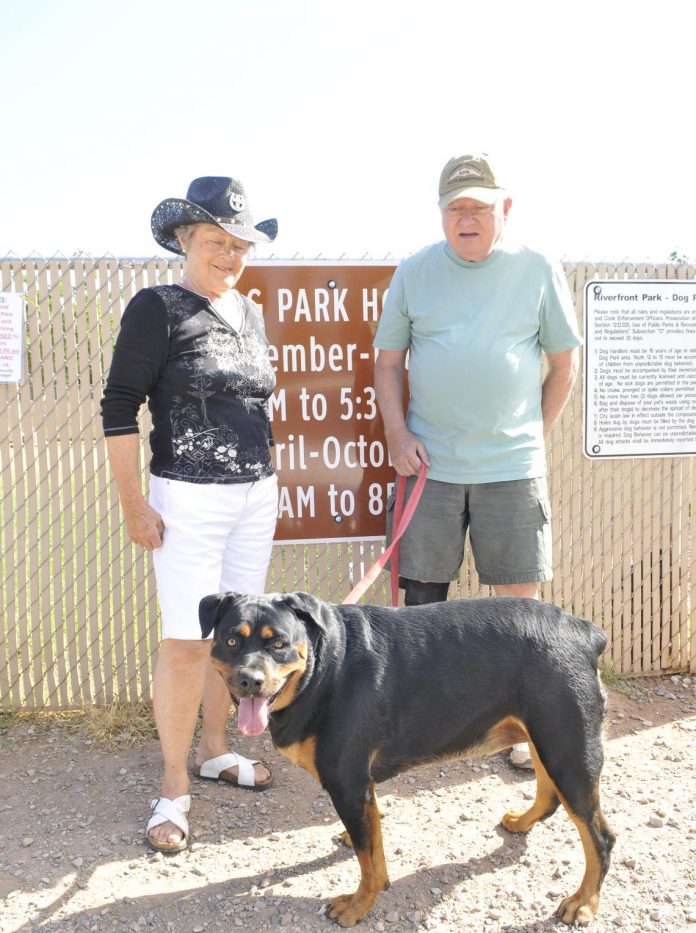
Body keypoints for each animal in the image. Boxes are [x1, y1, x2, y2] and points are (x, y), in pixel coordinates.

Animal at [200, 588, 616, 924]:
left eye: (279, 644)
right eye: (232, 640)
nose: (250, 679)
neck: (322, 669)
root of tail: (585, 631)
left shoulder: (347, 784)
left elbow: (371, 862)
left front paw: (357, 905)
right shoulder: (359, 787)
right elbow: (370, 837)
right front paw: (356, 840)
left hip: (567, 748)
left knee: (600, 837)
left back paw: (583, 903)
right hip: (546, 740)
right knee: (549, 796)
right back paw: (522, 822)